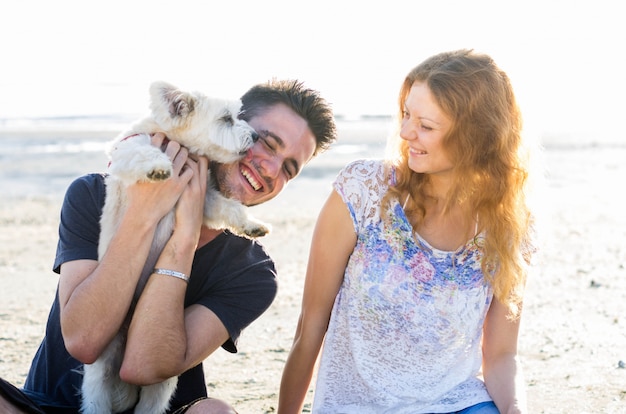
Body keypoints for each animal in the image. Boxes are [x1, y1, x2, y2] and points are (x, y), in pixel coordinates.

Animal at [80, 81, 268, 414]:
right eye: (226, 119)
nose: (257, 136)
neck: (179, 143)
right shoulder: (127, 150)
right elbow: (143, 151)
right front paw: (158, 165)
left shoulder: (206, 201)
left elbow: (229, 207)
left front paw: (251, 224)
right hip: (98, 376)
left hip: (160, 384)